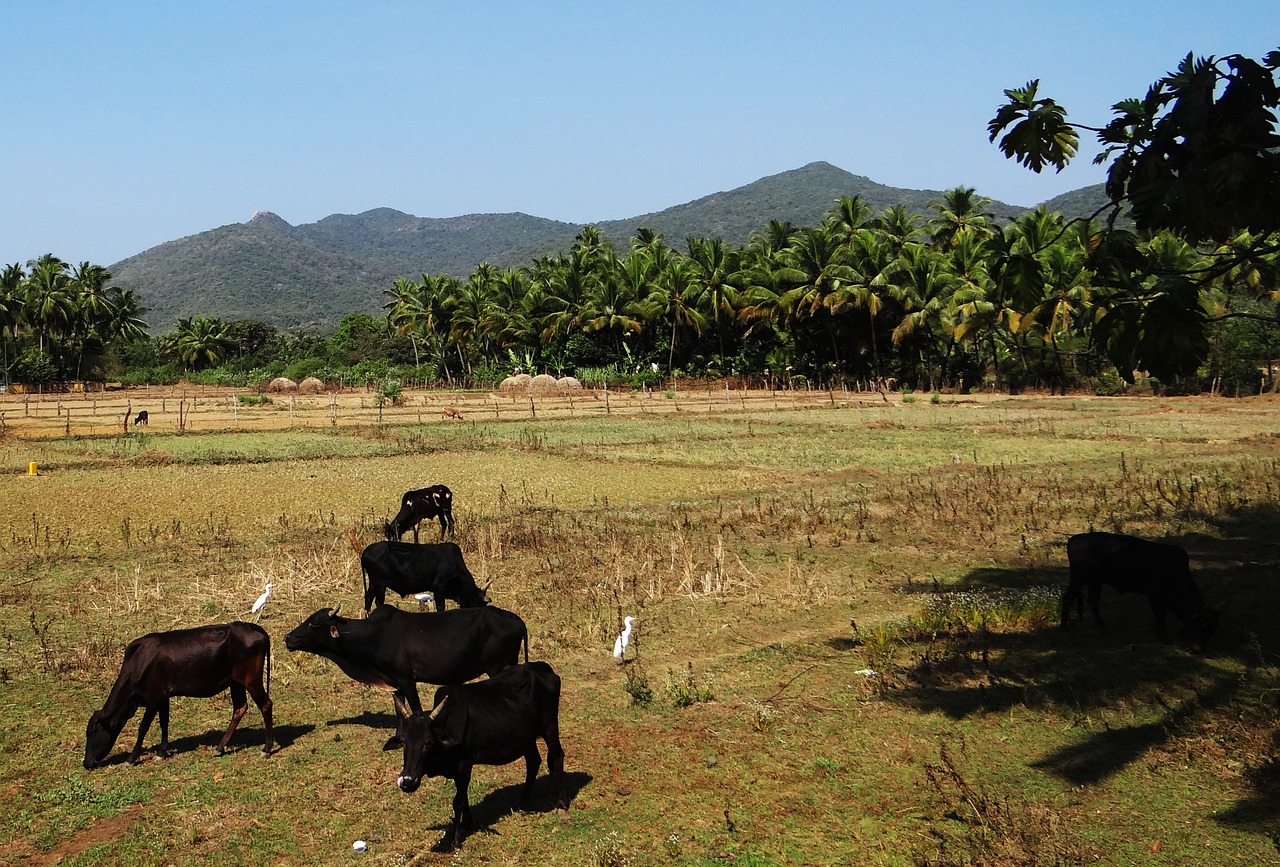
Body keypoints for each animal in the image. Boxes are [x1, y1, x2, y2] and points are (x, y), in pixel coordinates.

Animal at [83, 619, 273, 768]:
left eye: (92, 732)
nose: (86, 763)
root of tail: (251, 626)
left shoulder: (153, 698)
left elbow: (143, 727)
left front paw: (132, 758)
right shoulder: (163, 697)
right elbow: (164, 722)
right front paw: (161, 752)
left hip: (251, 680)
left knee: (266, 704)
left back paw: (266, 749)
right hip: (235, 683)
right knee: (240, 708)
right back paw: (220, 748)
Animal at [285, 601, 529, 722]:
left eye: (314, 623)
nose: (288, 638)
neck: (372, 635)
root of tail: (516, 619)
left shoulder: (406, 679)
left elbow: (417, 711)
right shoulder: (395, 684)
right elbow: (400, 711)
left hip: (497, 667)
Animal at [360, 537, 488, 612]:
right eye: (479, 604)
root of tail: (367, 550)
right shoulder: (439, 587)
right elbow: (441, 607)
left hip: (373, 583)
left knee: (368, 599)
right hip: (380, 584)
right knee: (378, 602)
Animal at [394, 660, 565, 850]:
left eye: (429, 742)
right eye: (403, 741)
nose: (408, 781)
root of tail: (541, 667)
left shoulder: (464, 764)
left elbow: (458, 801)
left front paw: (455, 839)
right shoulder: (456, 770)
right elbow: (463, 796)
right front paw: (468, 822)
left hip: (549, 725)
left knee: (557, 756)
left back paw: (561, 803)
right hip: (526, 738)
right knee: (534, 761)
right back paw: (522, 802)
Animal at [1059, 527, 1218, 642]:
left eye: (1211, 629)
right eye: (1203, 626)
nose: (1199, 649)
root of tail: (1074, 538)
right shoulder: (1156, 597)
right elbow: (1161, 616)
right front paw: (1164, 637)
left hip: (1094, 582)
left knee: (1092, 602)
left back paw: (1104, 629)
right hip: (1079, 579)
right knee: (1067, 598)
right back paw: (1064, 628)